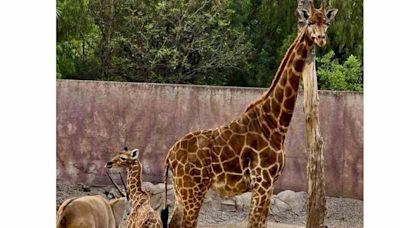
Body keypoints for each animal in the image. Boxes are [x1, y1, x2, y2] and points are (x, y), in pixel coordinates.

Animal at [161, 1, 336, 226]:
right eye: (310, 22)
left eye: (327, 23)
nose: (321, 38)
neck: (274, 122)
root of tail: (170, 157)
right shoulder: (263, 181)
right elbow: (254, 222)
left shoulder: (268, 183)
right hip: (192, 189)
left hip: (180, 191)